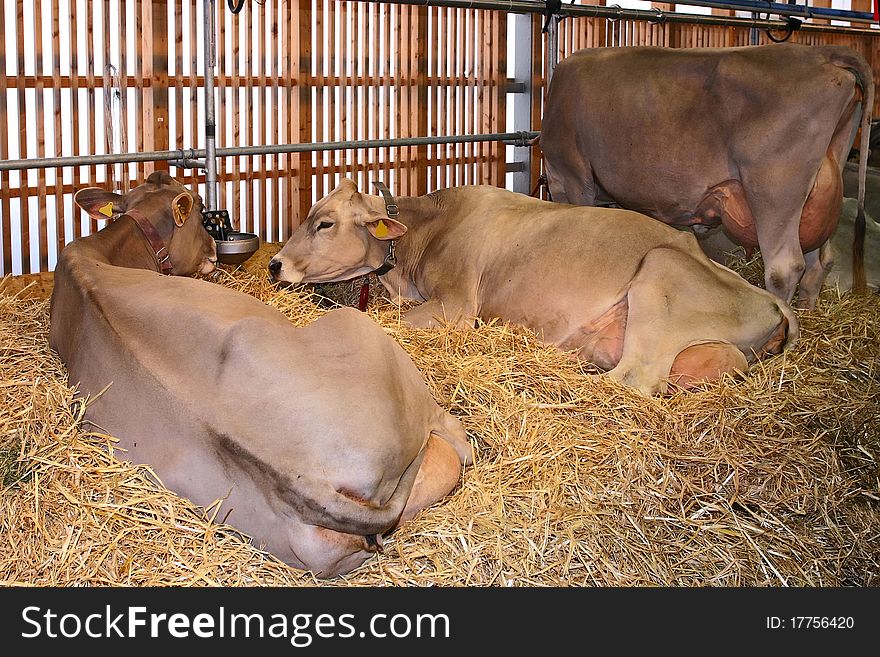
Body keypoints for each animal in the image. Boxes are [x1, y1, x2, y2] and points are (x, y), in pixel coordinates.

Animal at [50, 172, 470, 576]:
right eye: (201, 209)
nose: (212, 251)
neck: (99, 256)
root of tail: (308, 481)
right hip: (366, 337)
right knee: (455, 443)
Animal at [266, 178, 796, 394]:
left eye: (325, 223)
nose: (274, 265)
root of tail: (770, 299)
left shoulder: (456, 303)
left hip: (660, 274)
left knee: (633, 379)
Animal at [536, 43, 872, 312]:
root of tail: (821, 53)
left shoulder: (572, 172)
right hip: (816, 193)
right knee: (819, 260)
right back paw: (806, 313)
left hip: (774, 190)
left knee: (785, 267)